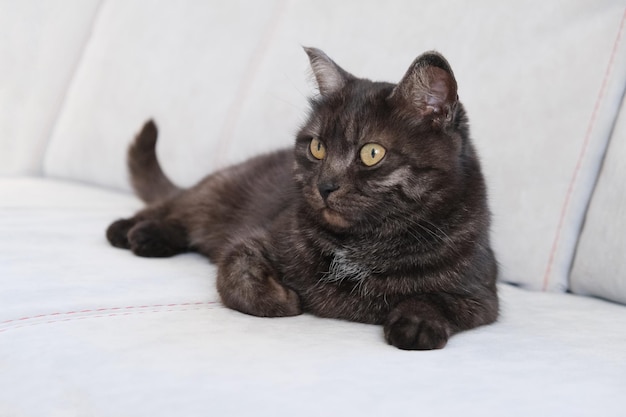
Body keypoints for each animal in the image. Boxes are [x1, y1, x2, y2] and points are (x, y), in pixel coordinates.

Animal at [106, 47, 498, 350]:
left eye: (372, 153)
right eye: (317, 147)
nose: (325, 186)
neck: (361, 244)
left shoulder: (481, 295)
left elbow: (439, 300)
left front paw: (417, 324)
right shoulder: (255, 239)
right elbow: (235, 275)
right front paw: (284, 299)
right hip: (216, 191)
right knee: (179, 207)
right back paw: (133, 230)